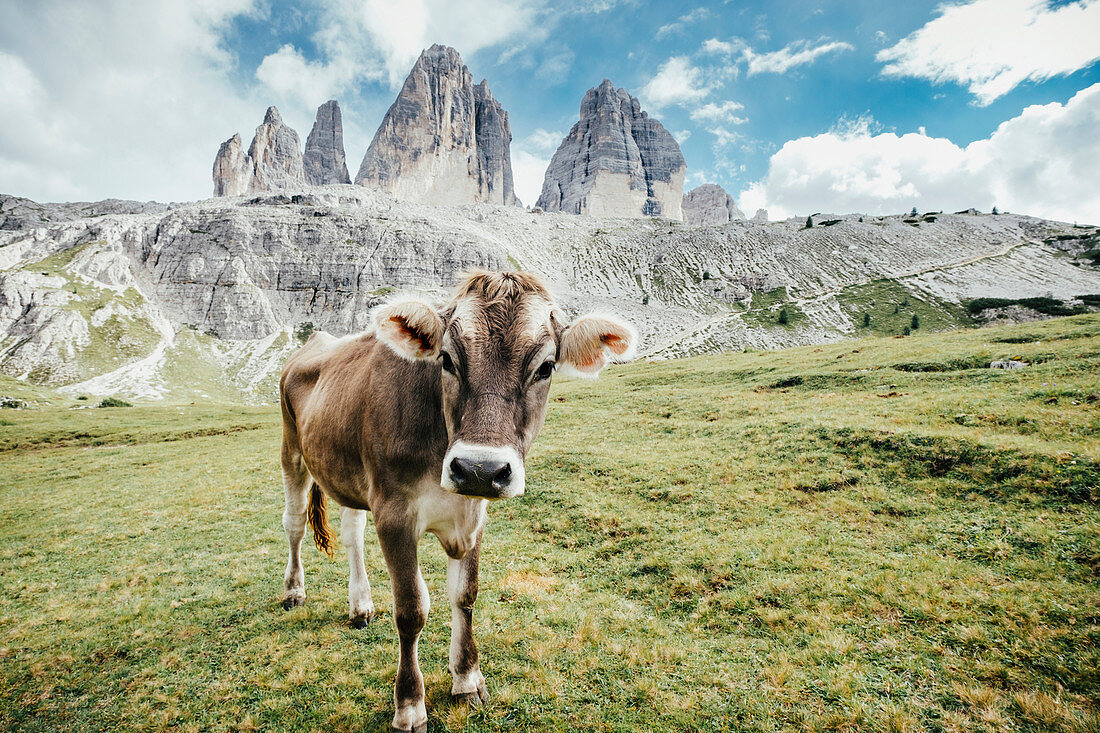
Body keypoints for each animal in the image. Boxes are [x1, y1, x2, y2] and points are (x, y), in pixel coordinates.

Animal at [277, 270, 638, 726]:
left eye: (546, 367)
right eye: (447, 360)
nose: (480, 468)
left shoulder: (472, 514)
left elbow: (465, 595)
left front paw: (466, 680)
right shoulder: (393, 513)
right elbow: (412, 609)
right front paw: (409, 705)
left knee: (351, 531)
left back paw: (360, 605)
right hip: (292, 449)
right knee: (294, 523)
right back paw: (293, 591)